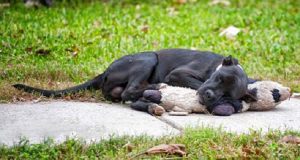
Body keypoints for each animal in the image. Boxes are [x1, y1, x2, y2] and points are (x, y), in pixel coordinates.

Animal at [12, 48, 255, 111]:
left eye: (227, 92)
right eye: (218, 78)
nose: (210, 95)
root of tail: (104, 72)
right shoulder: (178, 74)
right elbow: (195, 84)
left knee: (127, 93)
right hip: (148, 58)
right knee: (130, 91)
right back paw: (157, 87)